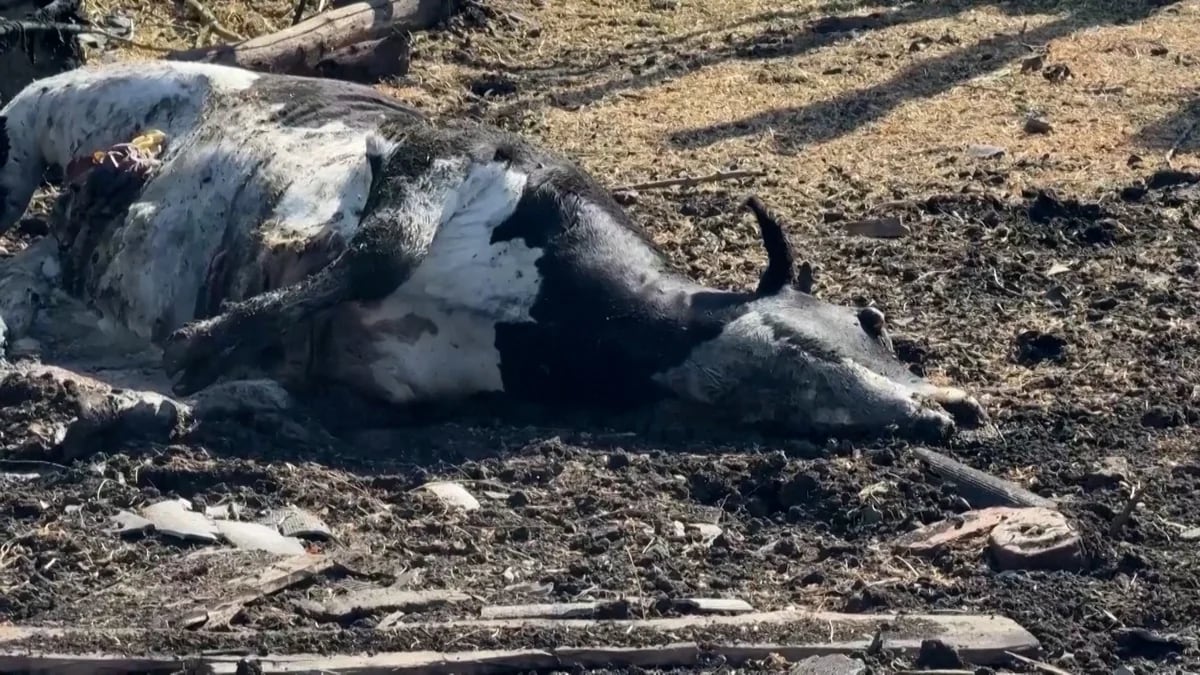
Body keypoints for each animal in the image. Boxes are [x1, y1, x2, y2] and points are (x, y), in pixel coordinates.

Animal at [0, 60, 984, 441]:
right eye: (871, 316)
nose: (958, 406)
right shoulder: (449, 154)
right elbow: (385, 248)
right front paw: (208, 340)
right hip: (73, 99)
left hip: (41, 274)